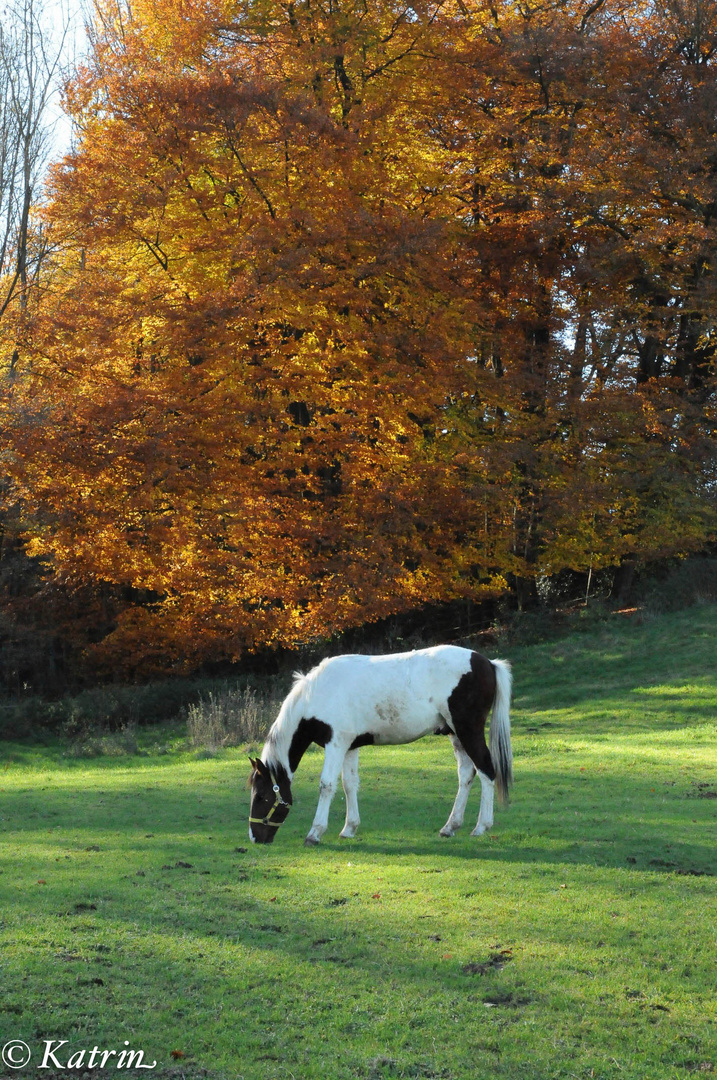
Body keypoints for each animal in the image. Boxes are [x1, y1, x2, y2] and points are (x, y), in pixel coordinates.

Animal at [249, 643, 511, 846]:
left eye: (261, 797)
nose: (255, 838)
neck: (317, 694)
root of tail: (487, 662)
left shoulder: (336, 744)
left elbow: (327, 785)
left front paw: (315, 833)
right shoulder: (349, 746)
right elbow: (349, 785)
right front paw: (349, 829)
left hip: (468, 730)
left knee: (486, 771)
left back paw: (481, 826)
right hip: (455, 733)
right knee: (466, 774)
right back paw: (450, 827)